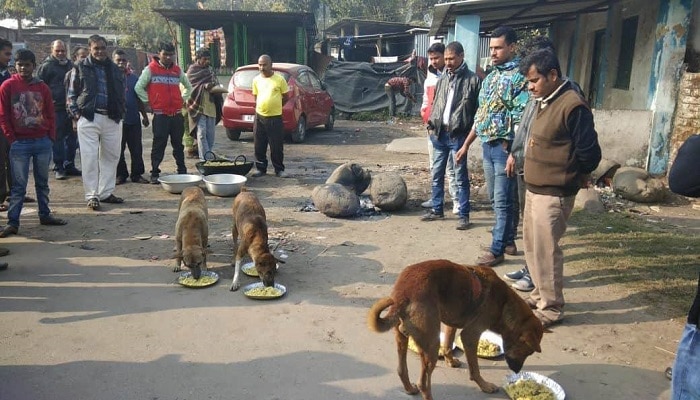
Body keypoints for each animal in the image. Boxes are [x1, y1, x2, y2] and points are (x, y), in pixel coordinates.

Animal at [370, 260, 544, 400]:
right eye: (528, 352)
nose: (516, 371)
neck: (504, 303)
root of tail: (402, 294)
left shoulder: (451, 323)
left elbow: (448, 344)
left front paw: (451, 361)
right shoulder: (470, 335)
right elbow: (474, 369)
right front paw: (484, 386)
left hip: (403, 339)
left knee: (401, 370)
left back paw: (409, 389)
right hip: (432, 346)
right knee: (424, 384)